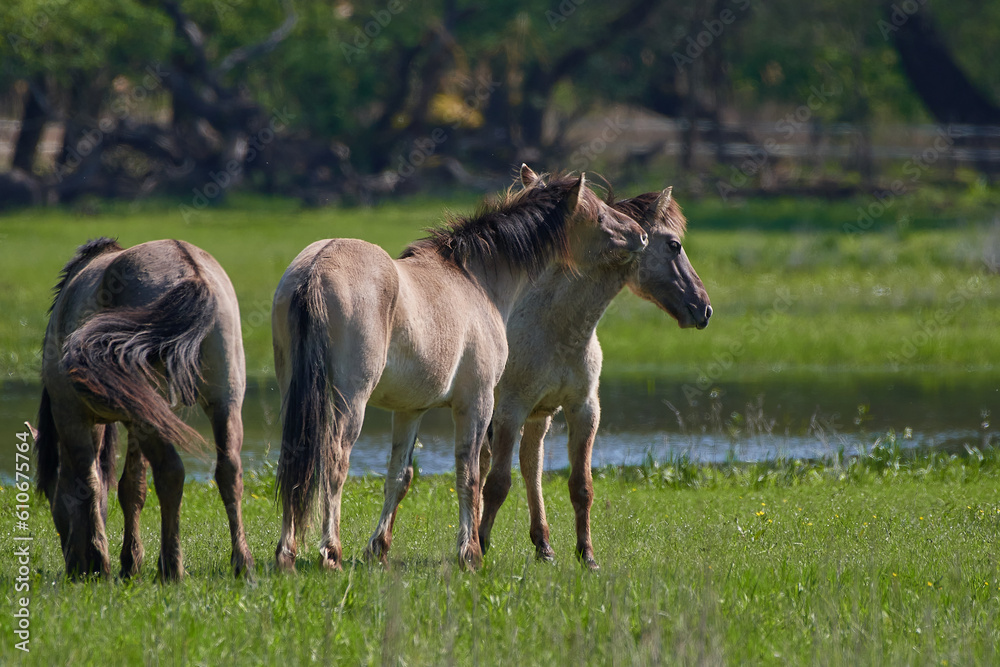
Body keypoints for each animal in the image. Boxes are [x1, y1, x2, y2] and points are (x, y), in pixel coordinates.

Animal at [35, 238, 254, 580]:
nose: (73, 568)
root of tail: (191, 269)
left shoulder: (70, 415)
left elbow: (88, 484)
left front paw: (100, 562)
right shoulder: (139, 418)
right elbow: (131, 488)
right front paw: (130, 563)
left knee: (172, 471)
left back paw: (172, 568)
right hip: (223, 401)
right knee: (229, 471)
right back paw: (241, 563)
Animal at [272, 168, 648, 571]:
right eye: (600, 215)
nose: (640, 234)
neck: (474, 281)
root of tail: (317, 266)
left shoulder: (410, 410)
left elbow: (399, 477)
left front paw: (378, 548)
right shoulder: (478, 402)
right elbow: (470, 475)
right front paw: (471, 552)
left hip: (296, 394)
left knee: (294, 459)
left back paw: (286, 554)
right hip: (350, 400)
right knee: (335, 462)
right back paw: (331, 552)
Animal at [477, 167, 712, 569]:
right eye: (674, 245)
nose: (704, 307)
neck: (557, 330)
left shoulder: (583, 408)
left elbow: (580, 485)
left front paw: (586, 555)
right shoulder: (510, 409)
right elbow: (497, 483)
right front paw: (481, 544)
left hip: (539, 416)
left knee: (530, 463)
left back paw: (543, 545)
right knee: (482, 466)